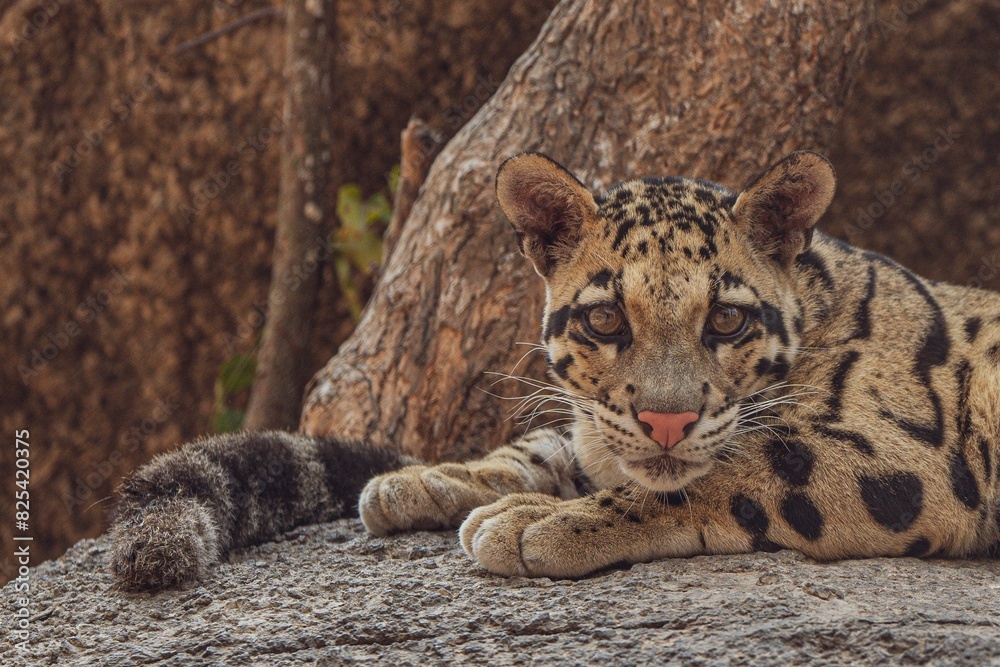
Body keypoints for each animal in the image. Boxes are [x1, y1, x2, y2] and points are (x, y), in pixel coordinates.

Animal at [110, 150, 999, 590]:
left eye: (727, 319)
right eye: (607, 318)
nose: (667, 419)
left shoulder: (910, 454)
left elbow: (736, 465)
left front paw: (534, 522)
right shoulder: (602, 420)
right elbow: (551, 444)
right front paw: (428, 479)